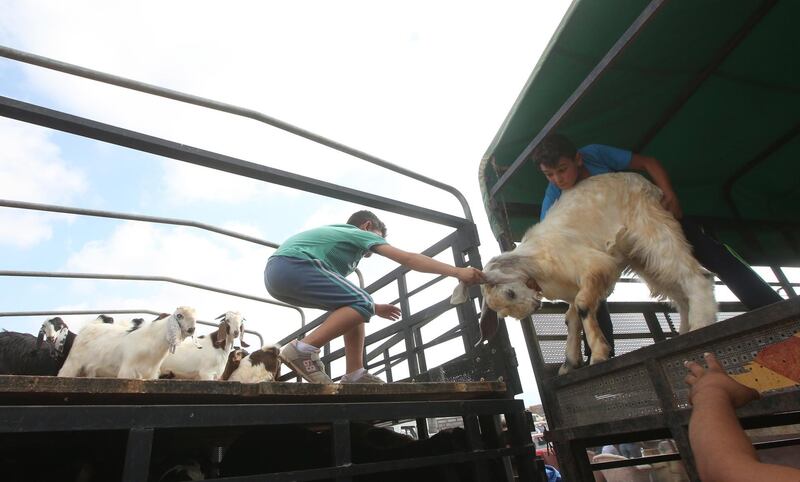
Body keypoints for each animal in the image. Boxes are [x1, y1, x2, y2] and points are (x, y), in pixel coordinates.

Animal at [57, 306, 197, 380]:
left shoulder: (150, 375)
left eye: (195, 317)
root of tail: (90, 325)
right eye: (179, 315)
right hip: (72, 363)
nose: (192, 329)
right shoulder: (127, 371)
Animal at [456, 173, 720, 372]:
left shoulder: (596, 265)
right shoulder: (574, 289)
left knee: (695, 275)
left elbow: (584, 307)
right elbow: (571, 318)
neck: (539, 261)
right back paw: (684, 330)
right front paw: (570, 363)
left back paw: (700, 325)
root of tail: (646, 183)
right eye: (504, 314)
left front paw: (599, 354)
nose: (534, 306)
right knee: (677, 291)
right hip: (640, 256)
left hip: (651, 226)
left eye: (509, 293)